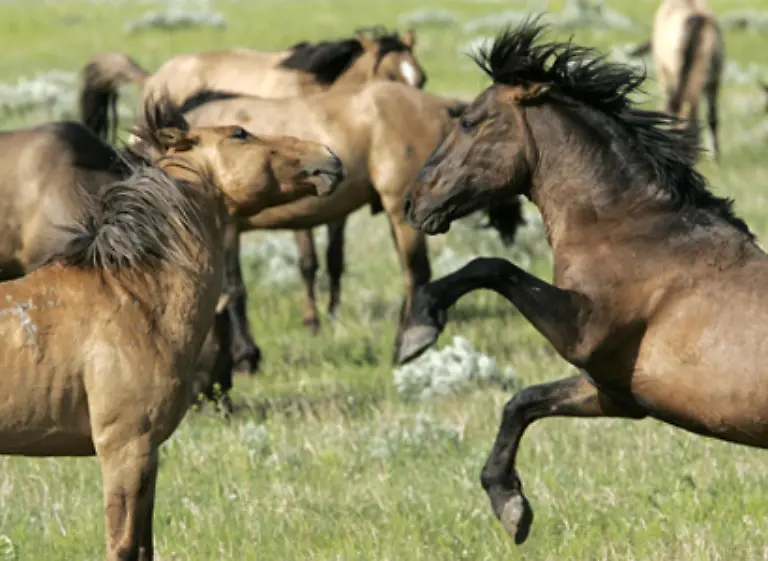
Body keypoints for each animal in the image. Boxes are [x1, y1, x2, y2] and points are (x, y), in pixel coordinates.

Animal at [0, 95, 342, 559]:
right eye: (240, 133)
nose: (329, 157)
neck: (133, 295)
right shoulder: (125, 450)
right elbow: (123, 546)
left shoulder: (149, 454)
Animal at [179, 82, 526, 382]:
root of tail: (440, 105)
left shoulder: (228, 230)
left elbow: (233, 290)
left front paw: (245, 358)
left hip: (401, 211)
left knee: (415, 273)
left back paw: (407, 340)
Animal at [399, 20, 764, 545]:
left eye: (469, 121)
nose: (411, 202)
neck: (632, 228)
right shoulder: (616, 393)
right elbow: (521, 403)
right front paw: (510, 506)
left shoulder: (582, 332)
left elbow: (491, 267)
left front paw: (417, 329)